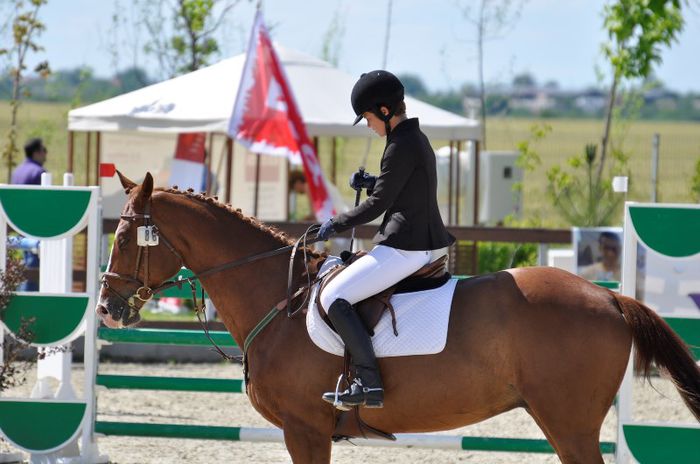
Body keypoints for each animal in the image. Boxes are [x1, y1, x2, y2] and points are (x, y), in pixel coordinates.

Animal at [97, 171, 700, 464]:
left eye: (126, 239)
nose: (107, 309)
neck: (281, 299)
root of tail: (609, 298)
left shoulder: (304, 430)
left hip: (569, 424)